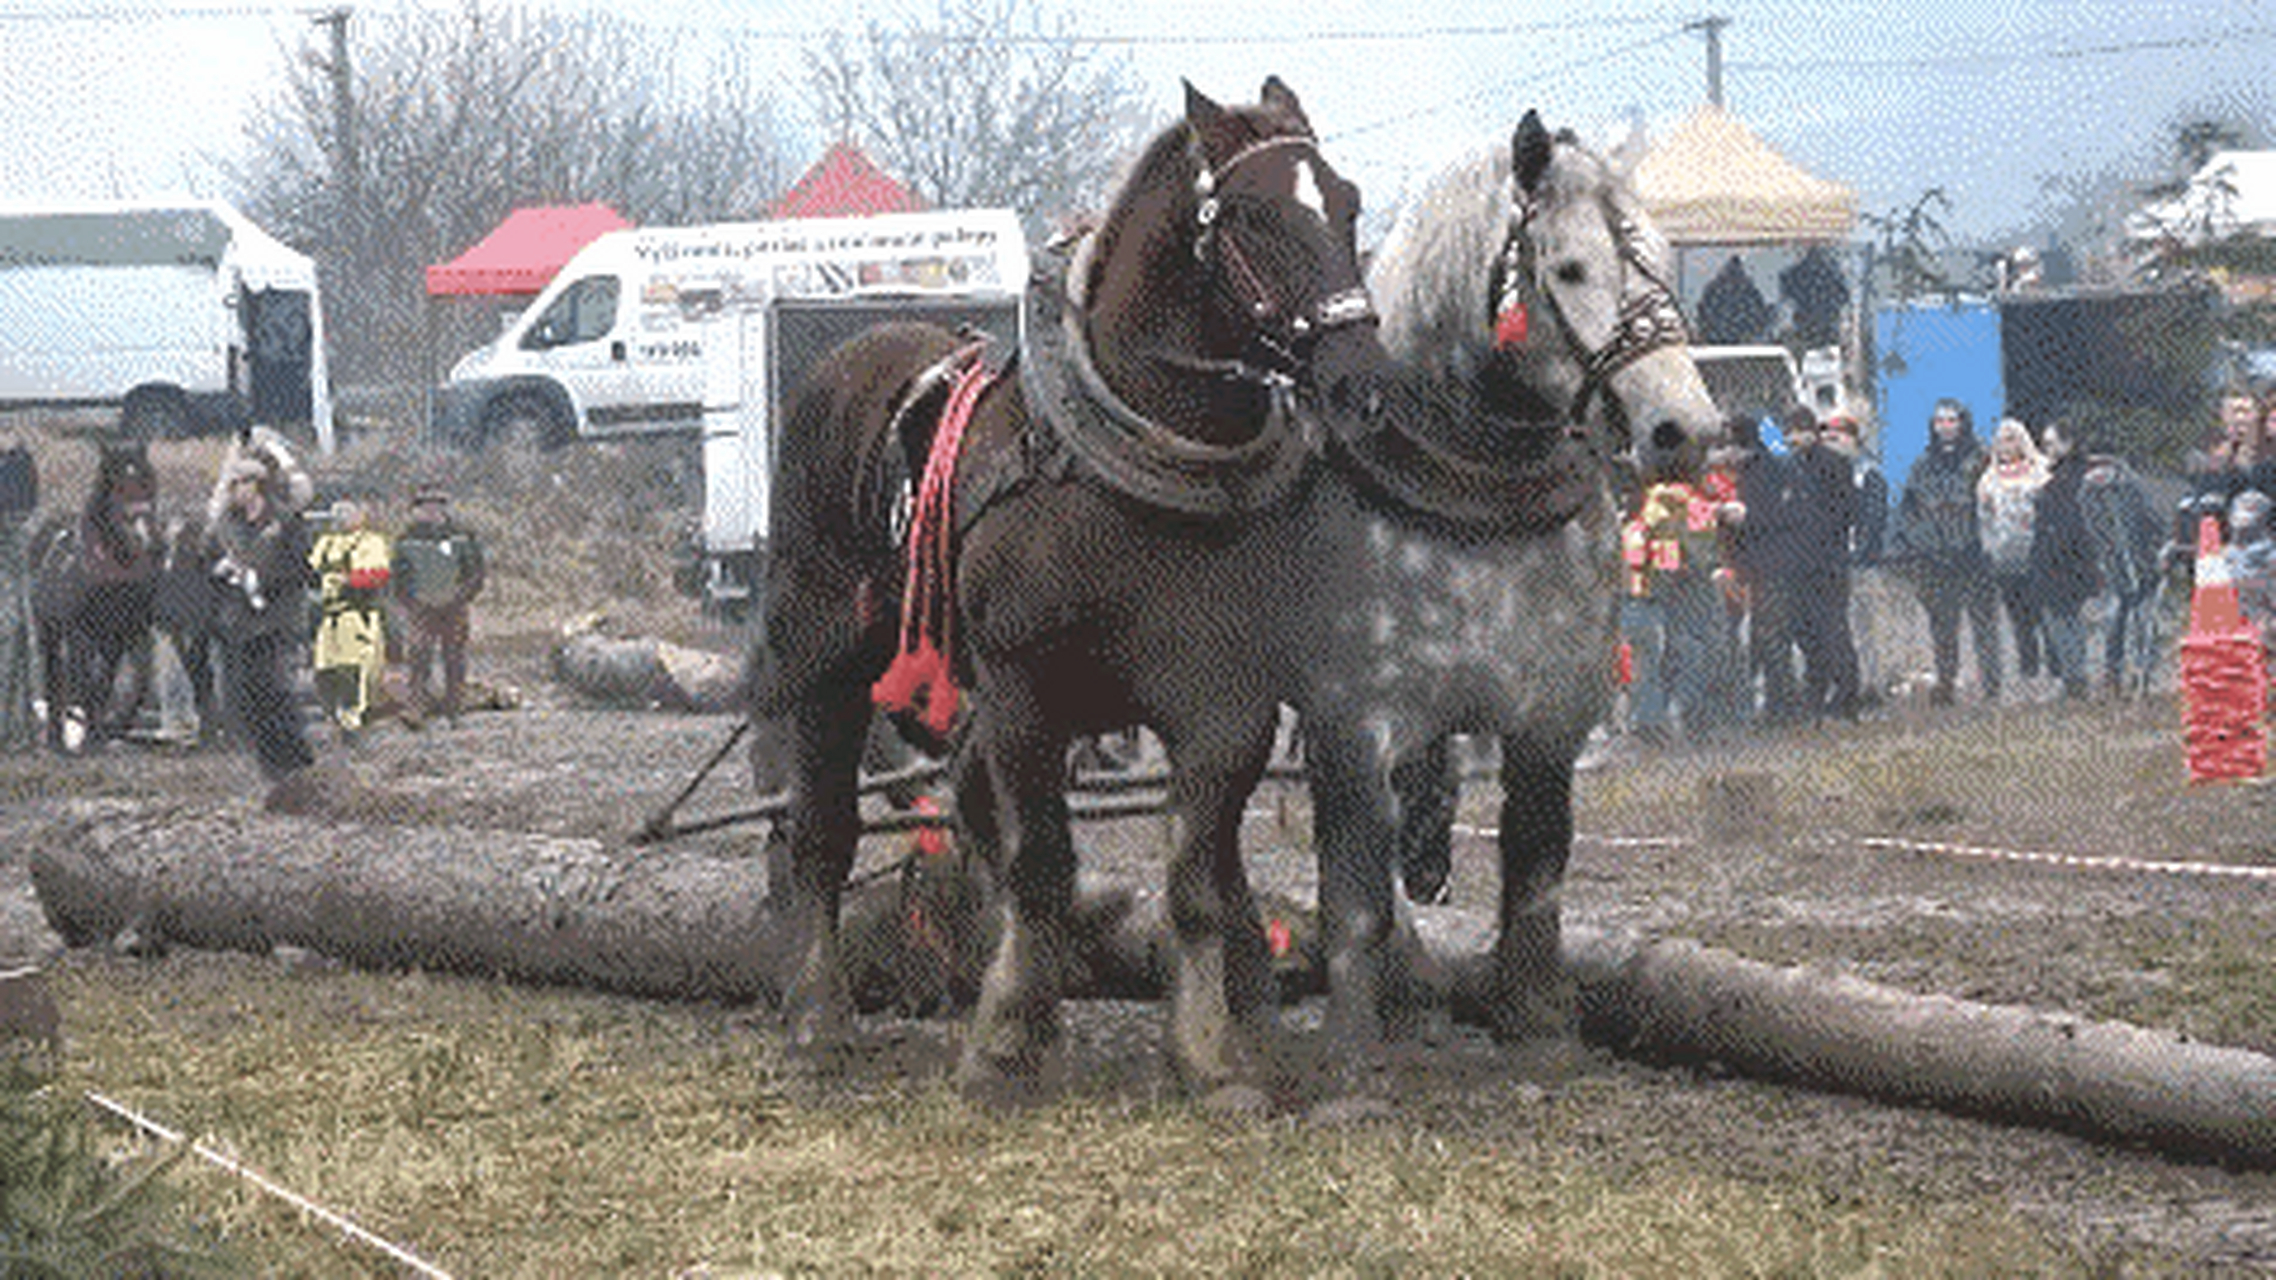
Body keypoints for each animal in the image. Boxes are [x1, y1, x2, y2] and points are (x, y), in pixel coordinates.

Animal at [751, 79, 1383, 1102]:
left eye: (1347, 201)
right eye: (1251, 214)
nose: (1361, 382)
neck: (1127, 477)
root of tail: (854, 355)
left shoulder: (1227, 706)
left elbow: (1196, 880)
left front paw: (1206, 1052)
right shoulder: (1023, 692)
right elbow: (1040, 861)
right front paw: (1004, 1043)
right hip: (824, 655)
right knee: (821, 831)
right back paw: (820, 1013)